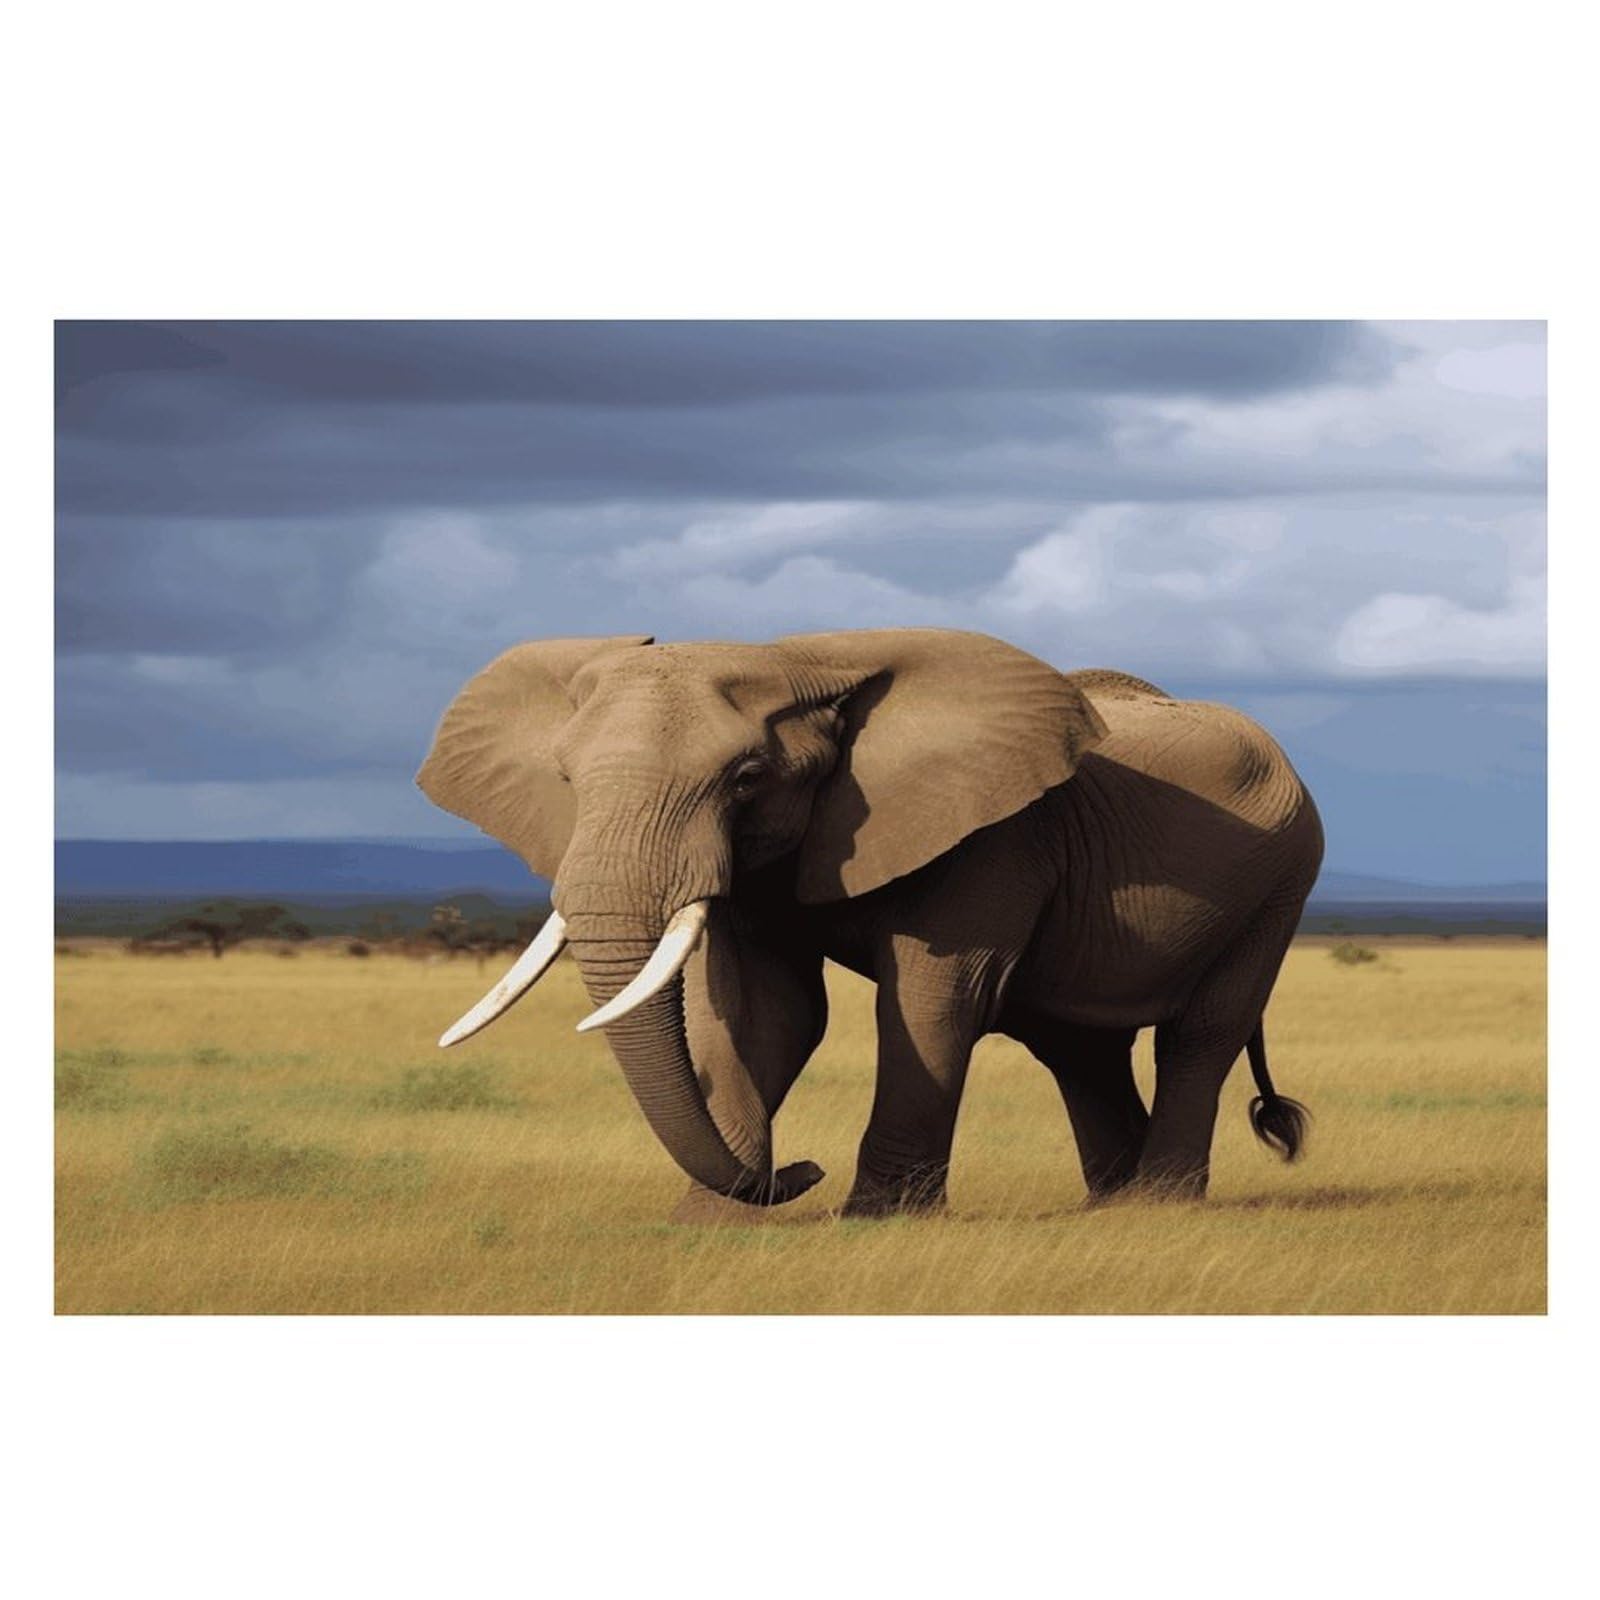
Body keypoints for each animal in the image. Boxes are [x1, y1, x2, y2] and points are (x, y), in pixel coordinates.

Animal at [416, 628, 1323, 1218]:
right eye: (567, 779)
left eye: (746, 778)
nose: (800, 1172)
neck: (802, 660)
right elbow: (768, 1013)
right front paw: (710, 1222)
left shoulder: (996, 835)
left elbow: (933, 999)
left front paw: (878, 1218)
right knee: (1078, 1047)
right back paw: (1112, 1205)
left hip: (1283, 881)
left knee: (1200, 1034)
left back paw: (1160, 1206)